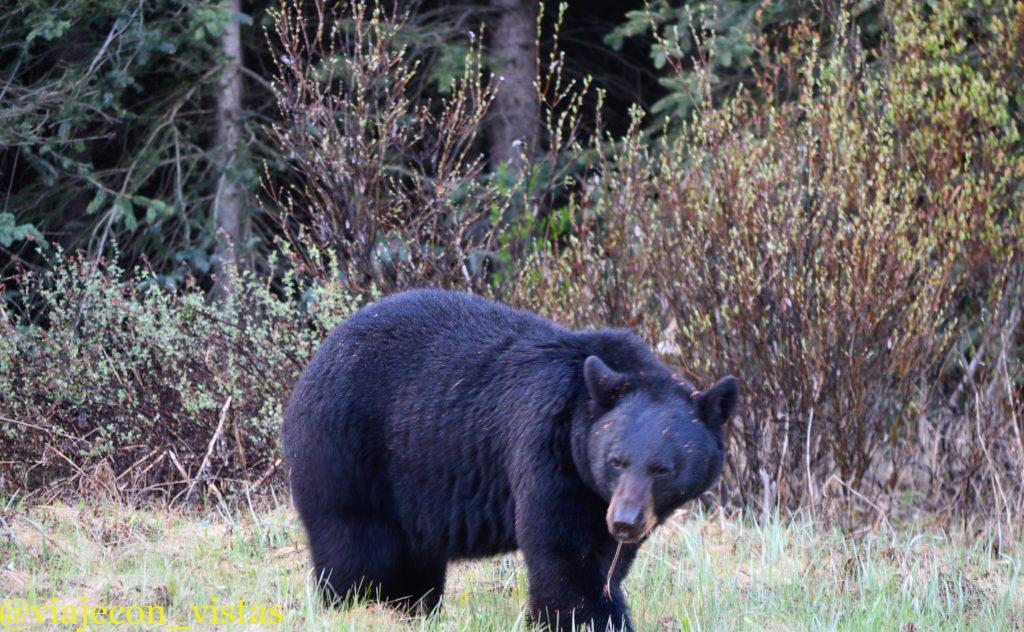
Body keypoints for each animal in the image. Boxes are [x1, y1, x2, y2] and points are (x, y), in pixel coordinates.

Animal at [282, 289, 738, 631]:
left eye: (663, 469)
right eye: (617, 461)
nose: (625, 521)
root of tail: (318, 358)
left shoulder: (596, 497)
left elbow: (607, 562)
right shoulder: (547, 453)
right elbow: (565, 559)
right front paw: (588, 619)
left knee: (414, 565)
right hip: (345, 453)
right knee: (355, 552)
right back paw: (355, 609)